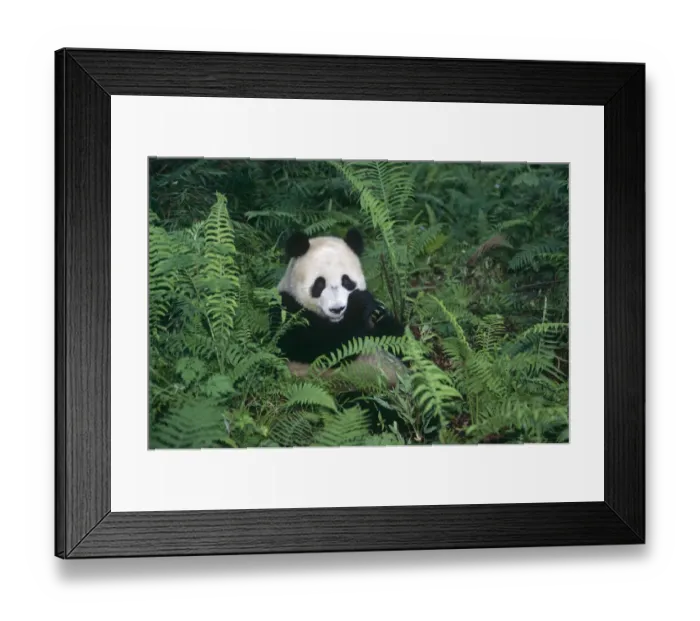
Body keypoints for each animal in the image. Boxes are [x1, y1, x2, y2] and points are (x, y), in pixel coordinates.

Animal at [271, 227, 406, 386]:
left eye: (346, 281)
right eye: (319, 284)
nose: (337, 309)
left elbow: (395, 336)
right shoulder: (286, 310)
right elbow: (325, 348)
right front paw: (360, 302)